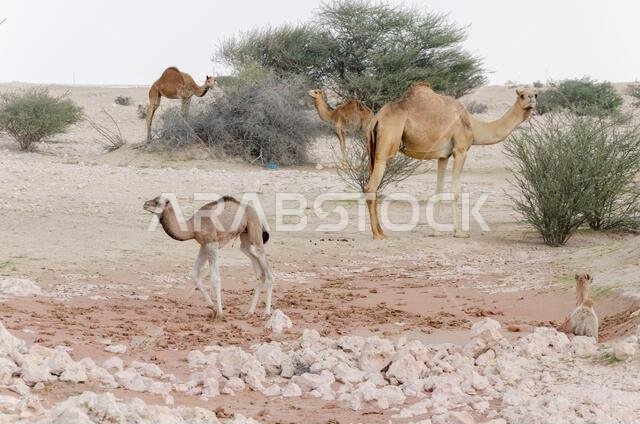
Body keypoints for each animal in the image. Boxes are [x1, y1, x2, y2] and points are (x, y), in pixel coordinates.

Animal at [143, 195, 274, 320]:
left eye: (158, 202)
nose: (145, 204)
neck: (192, 228)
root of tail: (256, 213)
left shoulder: (212, 244)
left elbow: (215, 278)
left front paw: (220, 314)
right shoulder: (203, 245)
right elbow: (194, 273)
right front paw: (213, 307)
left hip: (254, 232)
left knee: (268, 272)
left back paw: (266, 313)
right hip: (246, 240)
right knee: (259, 272)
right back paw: (249, 312)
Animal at [364, 83, 537, 239]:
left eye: (535, 94)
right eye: (522, 95)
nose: (531, 101)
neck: (473, 125)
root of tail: (376, 119)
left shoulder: (443, 156)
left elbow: (438, 190)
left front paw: (436, 232)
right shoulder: (460, 151)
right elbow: (455, 192)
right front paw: (459, 232)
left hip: (373, 151)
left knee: (374, 186)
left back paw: (381, 231)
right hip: (386, 147)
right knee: (371, 186)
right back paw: (377, 235)